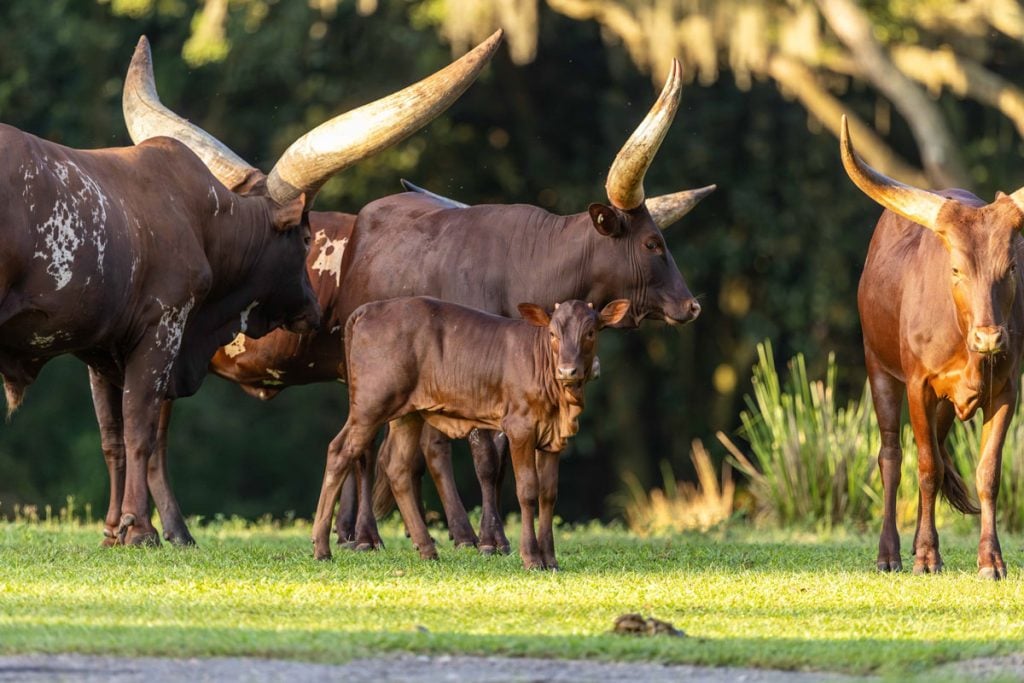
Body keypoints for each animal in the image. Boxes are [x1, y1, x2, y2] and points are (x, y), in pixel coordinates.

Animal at [311, 296, 629, 567]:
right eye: (552, 333)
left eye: (590, 332)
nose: (567, 371)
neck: (560, 405)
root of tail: (368, 308)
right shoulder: (520, 427)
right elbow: (527, 490)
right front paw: (531, 558)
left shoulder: (553, 440)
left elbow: (548, 494)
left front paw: (551, 560)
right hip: (371, 403)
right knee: (339, 451)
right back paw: (321, 547)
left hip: (407, 413)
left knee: (396, 466)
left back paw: (427, 549)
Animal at [841, 115, 1022, 579]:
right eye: (956, 269)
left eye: (1013, 266)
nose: (990, 337)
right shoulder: (918, 385)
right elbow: (923, 466)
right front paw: (925, 555)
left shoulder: (1007, 389)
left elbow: (987, 472)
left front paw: (991, 560)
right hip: (879, 368)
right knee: (891, 456)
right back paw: (889, 553)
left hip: (943, 402)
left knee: (938, 455)